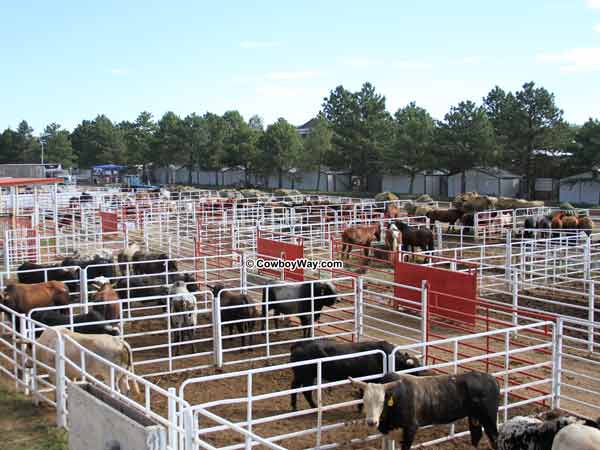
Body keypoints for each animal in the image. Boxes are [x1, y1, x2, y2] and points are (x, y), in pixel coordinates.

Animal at [290, 342, 422, 412]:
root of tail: (299, 345)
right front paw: (360, 408)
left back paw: (294, 406)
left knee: (294, 388)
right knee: (306, 391)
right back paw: (314, 406)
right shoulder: (368, 380)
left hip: (300, 376)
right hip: (306, 376)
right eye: (414, 372)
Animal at [352, 370, 502, 450]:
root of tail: (491, 378)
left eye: (381, 401)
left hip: (489, 417)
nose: (371, 422)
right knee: (476, 436)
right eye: (364, 400)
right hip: (475, 416)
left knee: (494, 438)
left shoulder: (410, 429)